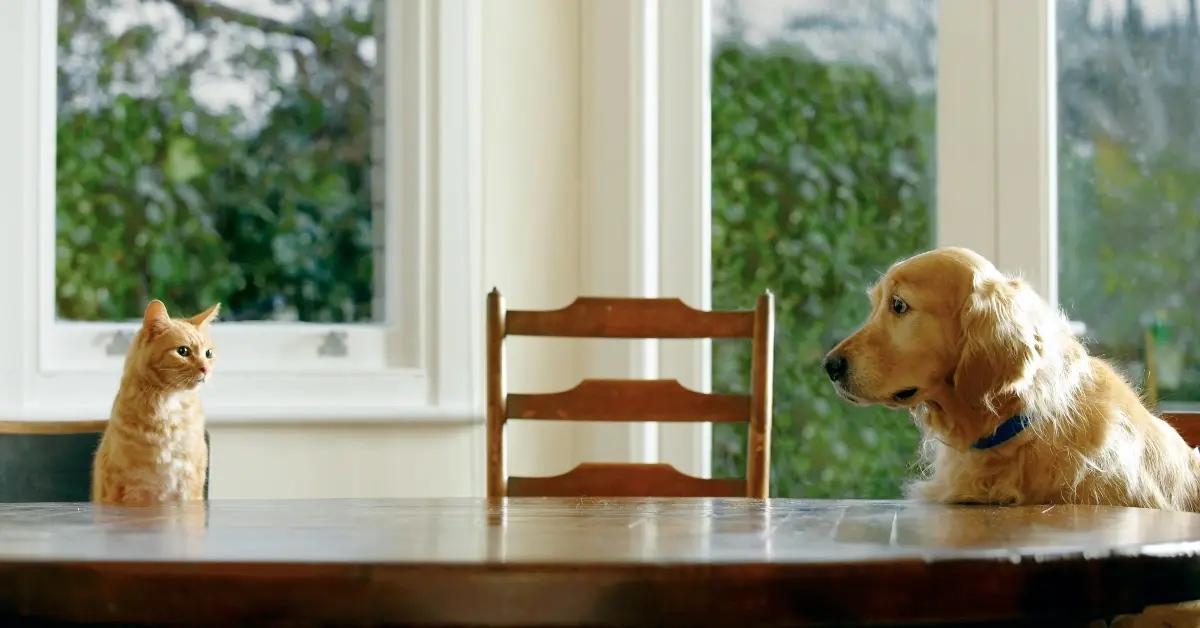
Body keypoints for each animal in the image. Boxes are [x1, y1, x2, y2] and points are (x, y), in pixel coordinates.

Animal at [92, 300, 219, 506]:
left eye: (209, 353)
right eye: (183, 351)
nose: (206, 369)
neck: (168, 403)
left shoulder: (190, 482)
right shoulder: (123, 486)